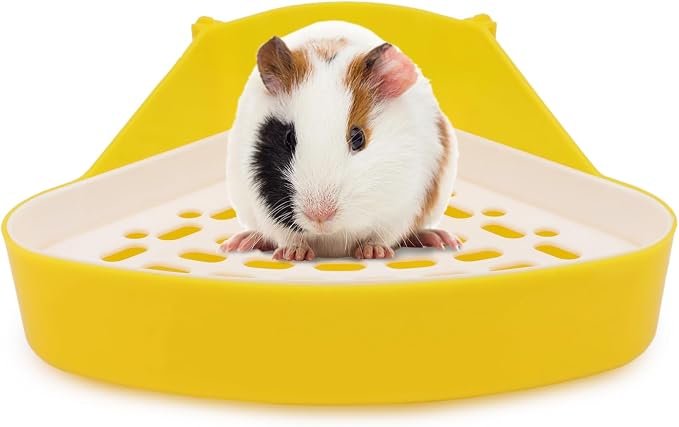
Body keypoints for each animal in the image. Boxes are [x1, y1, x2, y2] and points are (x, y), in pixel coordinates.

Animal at [221, 21, 461, 261]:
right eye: (288, 138)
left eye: (358, 137)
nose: (319, 215)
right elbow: (287, 237)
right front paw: (294, 254)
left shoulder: (403, 207)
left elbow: (383, 236)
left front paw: (373, 252)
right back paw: (238, 243)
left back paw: (441, 239)